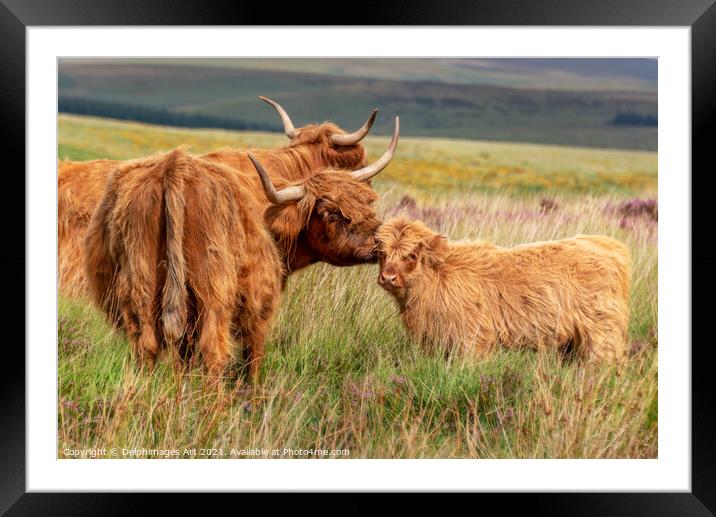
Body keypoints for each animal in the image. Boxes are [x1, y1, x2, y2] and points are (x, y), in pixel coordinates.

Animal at [84, 120, 400, 378]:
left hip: (140, 288)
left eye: (365, 203)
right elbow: (254, 357)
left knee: (146, 348)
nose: (380, 241)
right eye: (331, 213)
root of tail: (176, 168)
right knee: (213, 353)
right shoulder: (261, 301)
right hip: (214, 293)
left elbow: (185, 360)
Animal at [378, 218, 628, 362]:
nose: (388, 277)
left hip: (602, 333)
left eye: (411, 255)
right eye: (382, 253)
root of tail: (609, 245)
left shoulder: (474, 339)